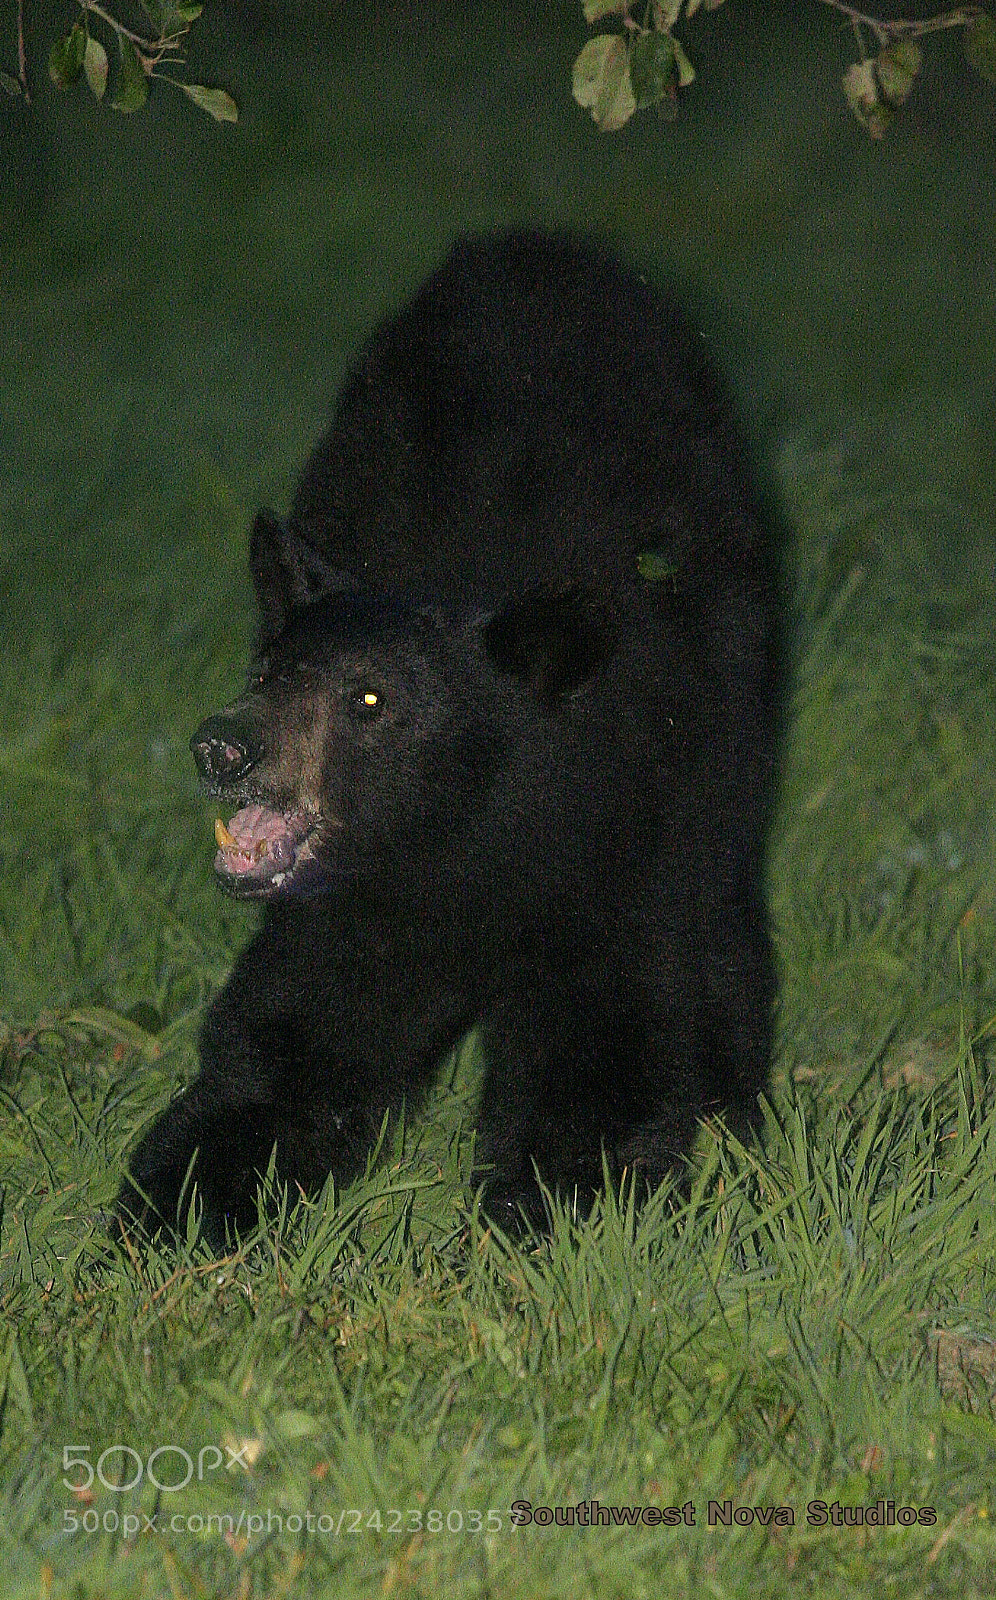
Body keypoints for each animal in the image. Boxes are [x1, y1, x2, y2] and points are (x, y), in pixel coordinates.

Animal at [118, 229, 779, 1243]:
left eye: (369, 700)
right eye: (266, 675)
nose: (223, 745)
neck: (463, 845)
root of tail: (539, 245)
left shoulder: (620, 861)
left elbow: (602, 1068)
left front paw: (545, 1227)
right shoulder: (353, 911)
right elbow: (286, 1053)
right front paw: (173, 1210)